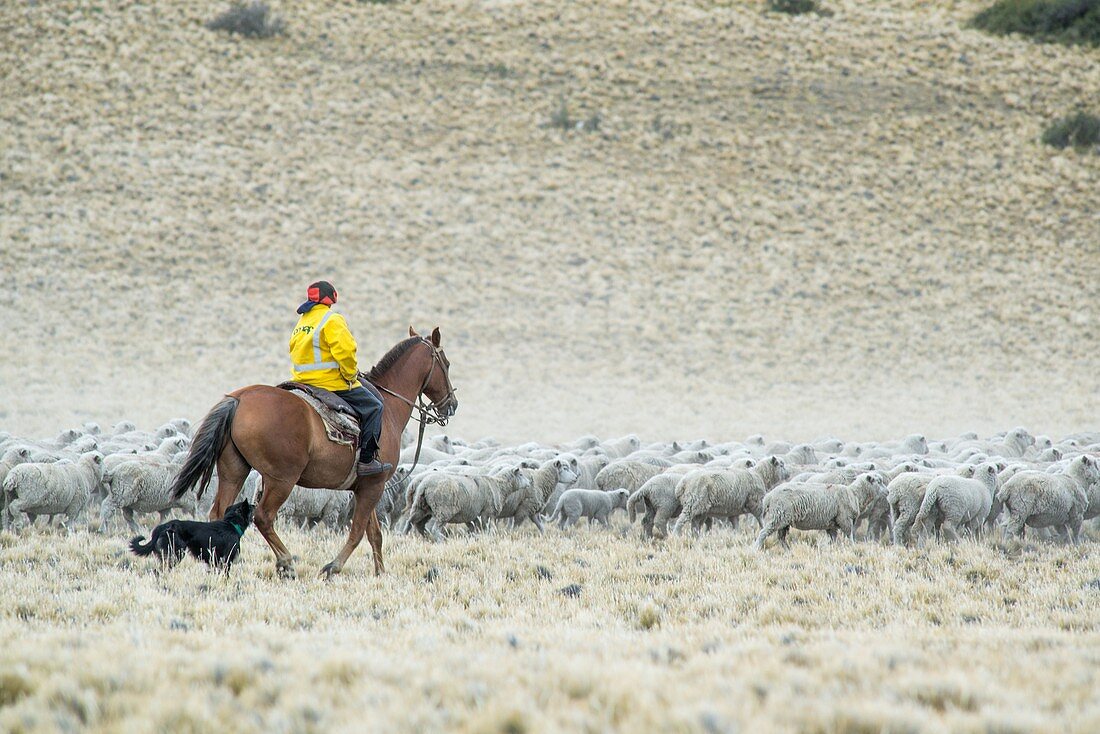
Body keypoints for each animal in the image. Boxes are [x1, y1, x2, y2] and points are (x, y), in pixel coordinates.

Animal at [166, 327, 455, 581]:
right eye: (447, 363)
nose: (452, 404)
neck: (388, 406)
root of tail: (239, 399)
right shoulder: (374, 484)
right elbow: (357, 532)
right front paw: (332, 568)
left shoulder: (367, 486)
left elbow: (374, 533)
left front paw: (381, 573)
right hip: (281, 479)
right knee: (263, 517)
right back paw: (285, 563)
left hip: (234, 471)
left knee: (218, 513)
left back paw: (220, 562)